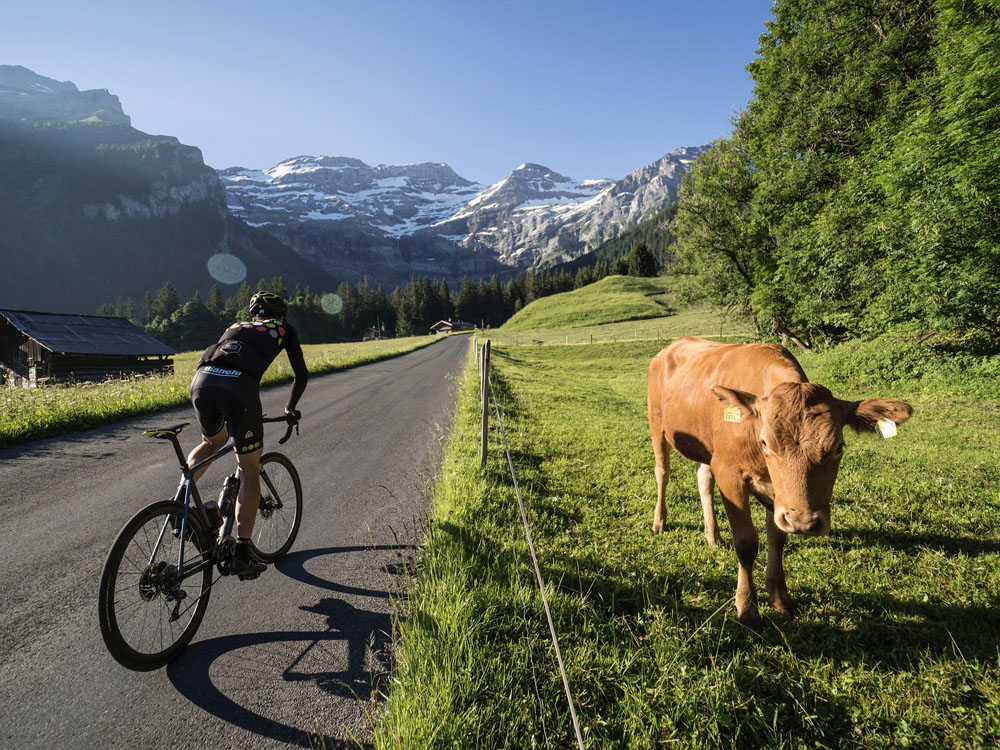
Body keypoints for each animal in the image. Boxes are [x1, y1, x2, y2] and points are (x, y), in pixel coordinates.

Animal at [648, 338, 916, 624]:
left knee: (703, 478)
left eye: (838, 447)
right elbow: (746, 543)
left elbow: (777, 539)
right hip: (657, 425)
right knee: (662, 472)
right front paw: (747, 606)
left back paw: (713, 536)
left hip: (706, 447)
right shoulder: (729, 474)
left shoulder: (780, 498)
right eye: (765, 442)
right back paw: (659, 522)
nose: (804, 523)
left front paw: (779, 598)